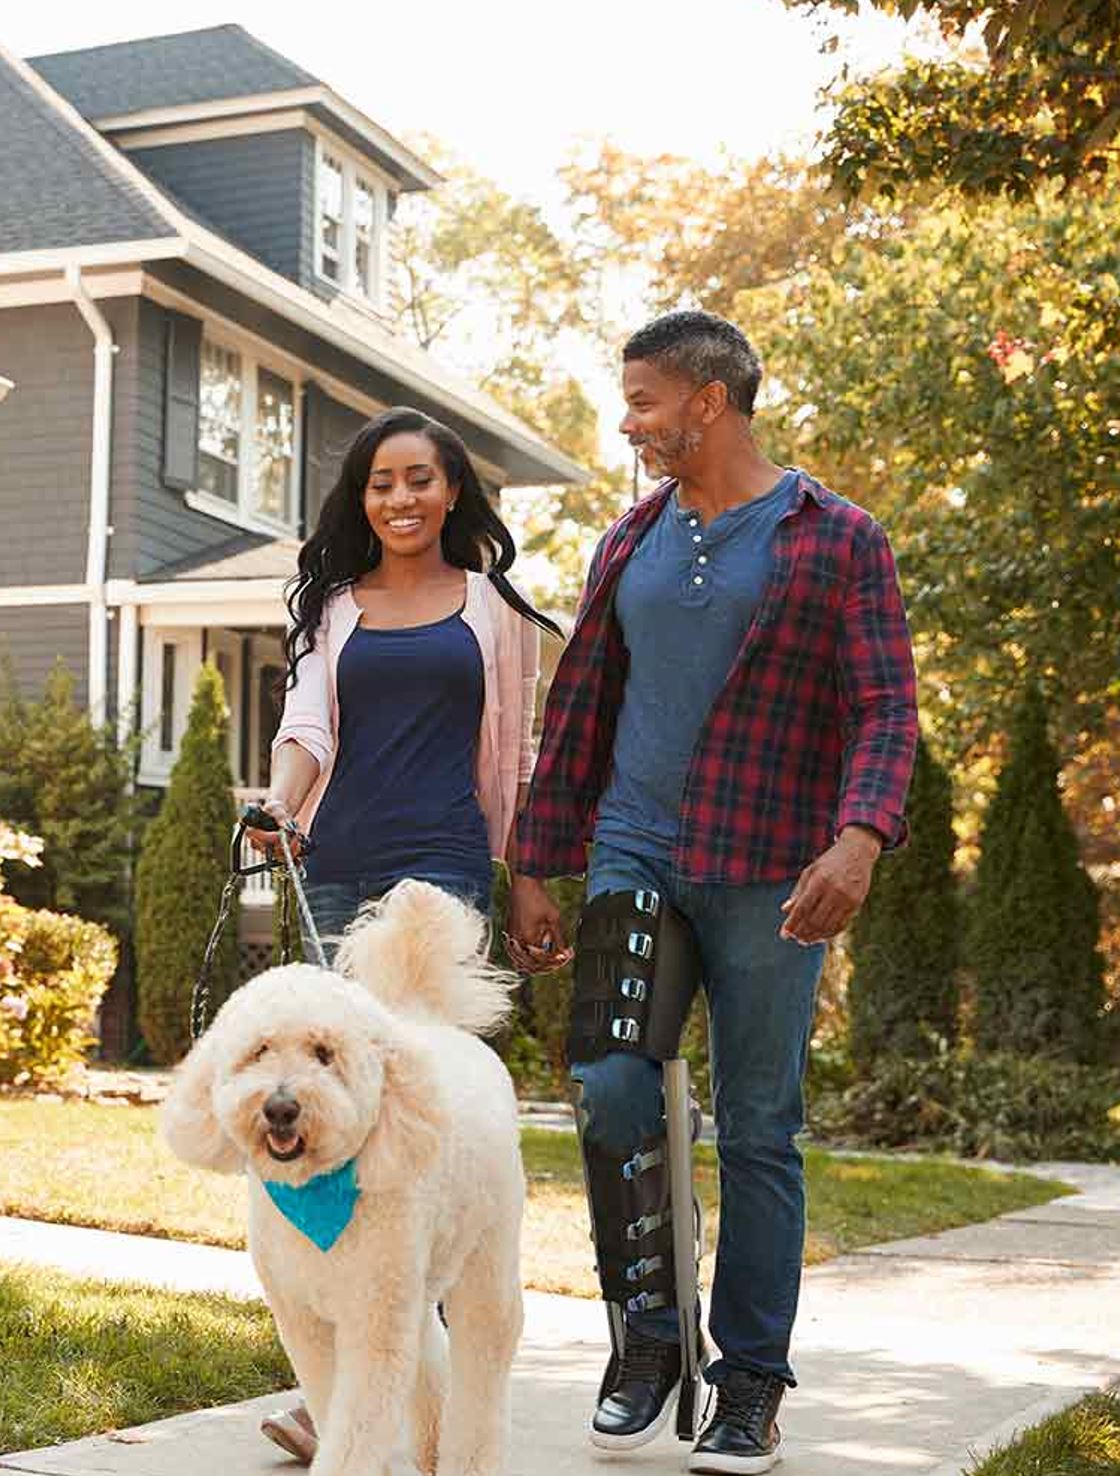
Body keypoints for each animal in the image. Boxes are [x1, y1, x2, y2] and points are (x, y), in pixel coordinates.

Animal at [160, 879, 525, 1470]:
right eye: (259, 1050)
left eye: (324, 1053)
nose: (280, 1107)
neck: (317, 1191)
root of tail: (425, 1020)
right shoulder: (306, 1321)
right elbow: (332, 1406)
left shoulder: (370, 1324)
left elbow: (357, 1428)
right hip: (414, 1279)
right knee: (429, 1343)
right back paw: (430, 1444)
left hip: (485, 1254)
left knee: (484, 1352)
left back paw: (465, 1457)